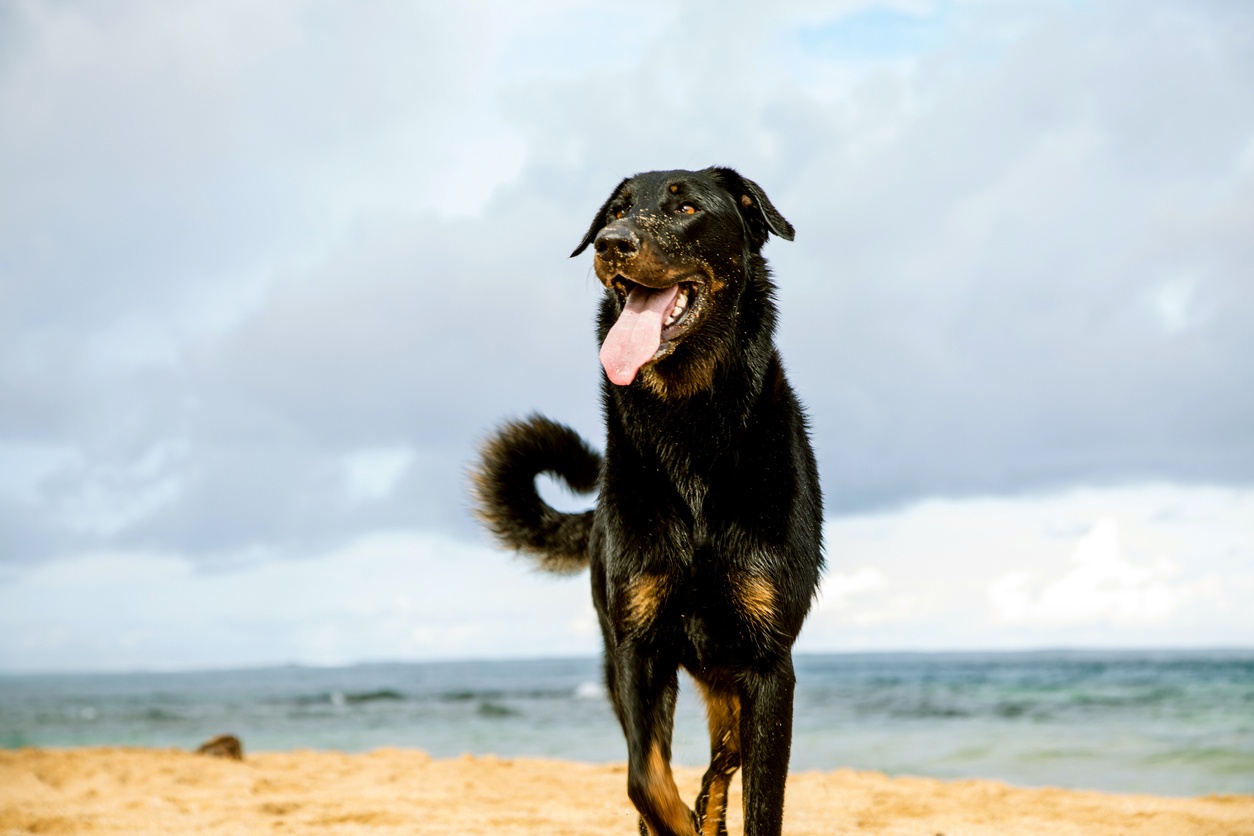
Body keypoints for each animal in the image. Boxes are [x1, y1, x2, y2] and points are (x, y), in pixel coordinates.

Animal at [471, 166, 822, 832]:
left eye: (686, 207)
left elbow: (762, 801)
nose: (612, 243)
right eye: (618, 210)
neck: (691, 428)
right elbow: (645, 780)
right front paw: (677, 821)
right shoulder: (638, 651)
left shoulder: (769, 666)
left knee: (724, 756)